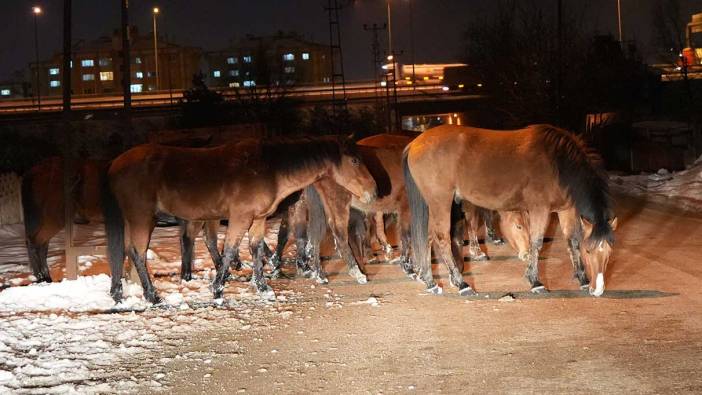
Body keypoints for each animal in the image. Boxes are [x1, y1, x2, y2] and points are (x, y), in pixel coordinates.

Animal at [102, 136, 376, 304]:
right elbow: (230, 249)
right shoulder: (240, 218)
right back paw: (152, 296)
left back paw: (118, 293)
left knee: (125, 252)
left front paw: (262, 286)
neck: (269, 169)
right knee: (138, 253)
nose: (373, 190)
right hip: (142, 218)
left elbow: (255, 249)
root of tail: (114, 164)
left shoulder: (258, 220)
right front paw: (217, 289)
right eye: (354, 160)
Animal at [404, 124, 620, 296]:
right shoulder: (539, 209)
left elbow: (572, 241)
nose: (598, 289)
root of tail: (414, 144)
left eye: (609, 253)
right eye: (588, 250)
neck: (557, 162)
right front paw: (535, 281)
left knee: (427, 237)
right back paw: (461, 284)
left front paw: (582, 278)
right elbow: (536, 243)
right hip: (441, 202)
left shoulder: (566, 210)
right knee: (441, 238)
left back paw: (431, 282)